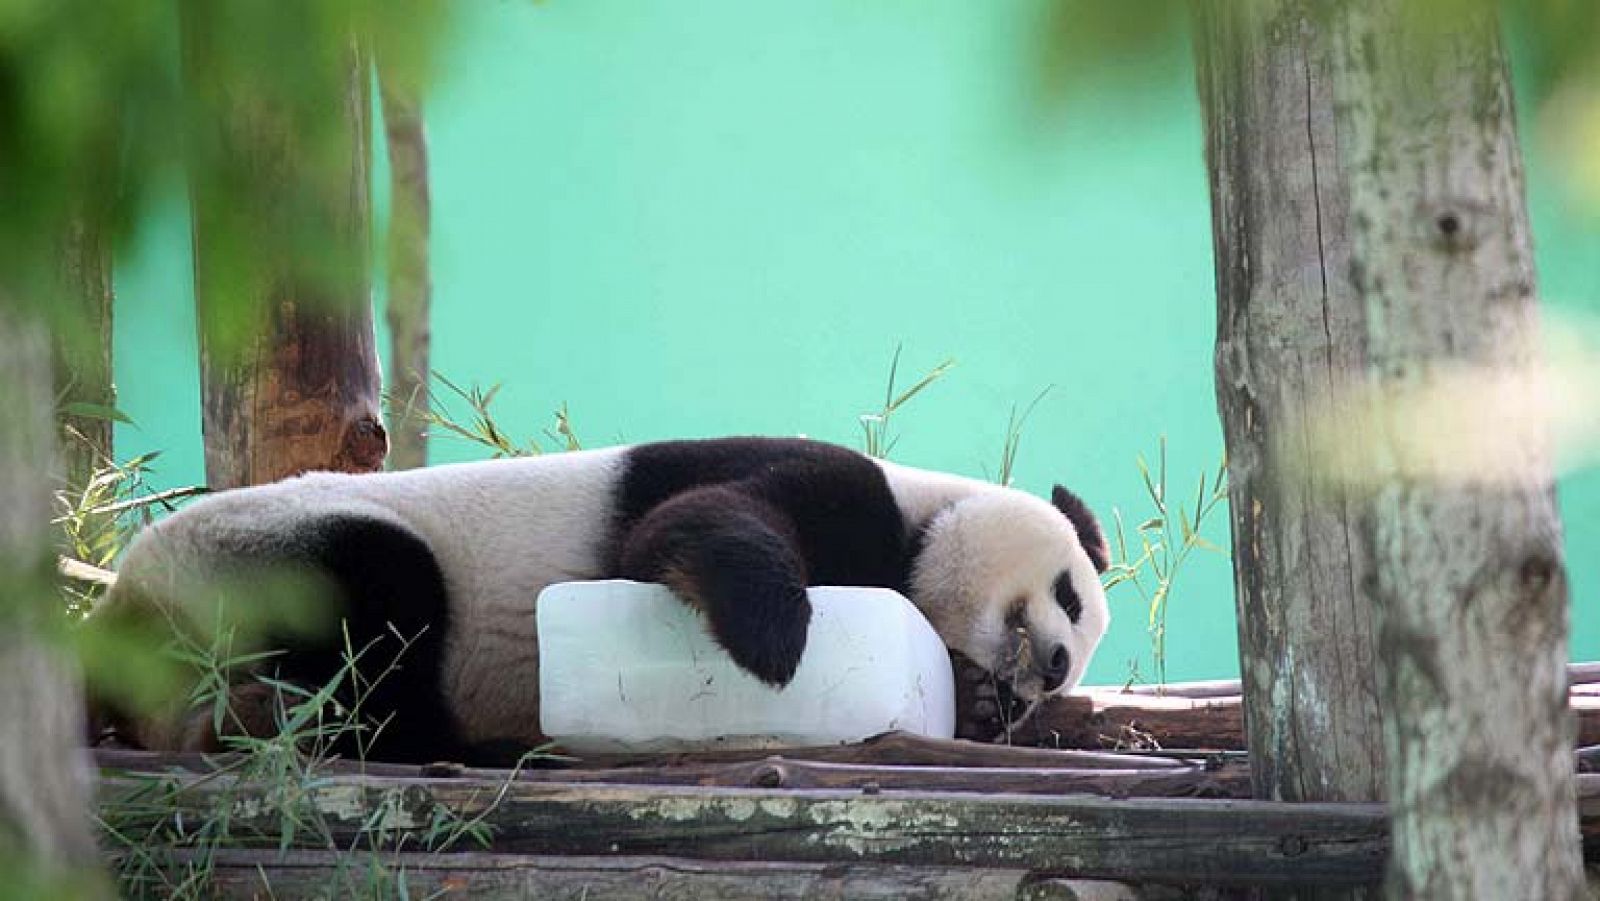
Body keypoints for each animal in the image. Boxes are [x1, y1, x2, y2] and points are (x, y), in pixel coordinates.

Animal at [92, 437, 1111, 763]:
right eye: (1068, 592)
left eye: (1076, 665)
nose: (1056, 665)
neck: (925, 516)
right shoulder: (847, 488)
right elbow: (684, 526)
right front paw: (775, 636)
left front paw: (979, 705)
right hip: (249, 558)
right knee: (382, 605)